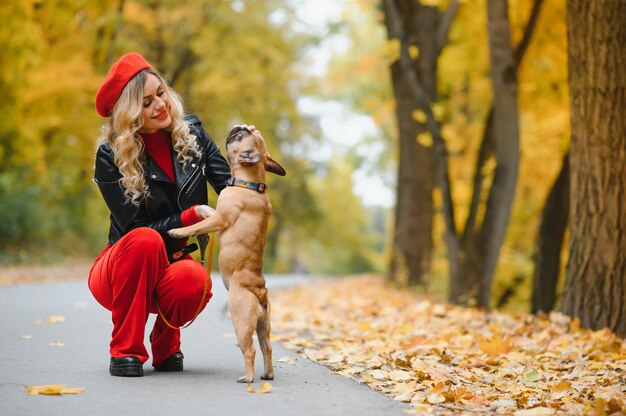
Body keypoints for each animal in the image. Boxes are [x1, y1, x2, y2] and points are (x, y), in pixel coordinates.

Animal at [166, 127, 282, 384]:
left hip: (240, 321)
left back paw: (247, 378)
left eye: (239, 137)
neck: (250, 183)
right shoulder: (218, 216)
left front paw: (178, 230)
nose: (239, 127)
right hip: (263, 325)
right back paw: (267, 374)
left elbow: (197, 226)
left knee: (249, 350)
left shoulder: (221, 218)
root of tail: (259, 292)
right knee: (267, 347)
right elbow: (205, 217)